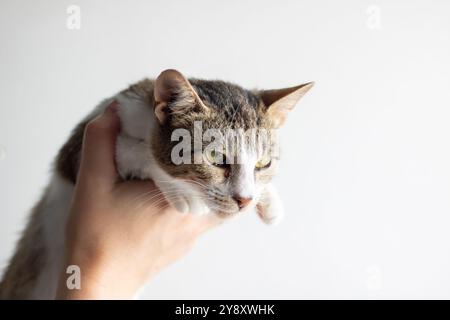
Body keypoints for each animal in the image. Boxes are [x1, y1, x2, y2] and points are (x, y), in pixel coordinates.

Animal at [0, 69, 312, 298]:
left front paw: (270, 201)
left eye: (263, 163)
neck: (145, 121)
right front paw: (183, 193)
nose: (244, 200)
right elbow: (135, 150)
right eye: (215, 158)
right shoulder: (76, 150)